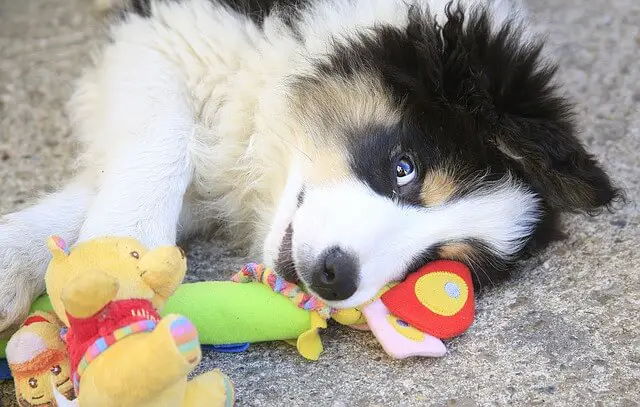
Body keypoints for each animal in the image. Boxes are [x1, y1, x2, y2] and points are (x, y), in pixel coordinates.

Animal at [0, 0, 620, 334]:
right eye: (405, 168)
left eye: (436, 262)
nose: (334, 277)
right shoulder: (169, 31)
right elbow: (166, 140)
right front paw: (121, 255)